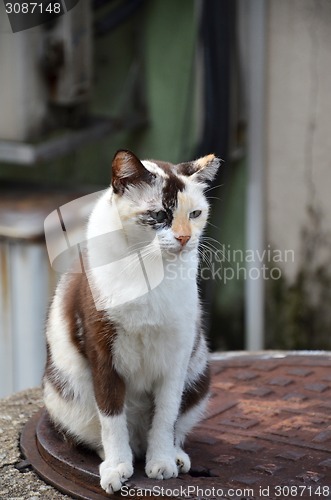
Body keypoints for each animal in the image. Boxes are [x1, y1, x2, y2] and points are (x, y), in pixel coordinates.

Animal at [43, 148, 220, 492]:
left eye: (195, 214)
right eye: (159, 215)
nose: (184, 238)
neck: (148, 269)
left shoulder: (177, 353)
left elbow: (166, 414)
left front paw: (162, 461)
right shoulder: (101, 352)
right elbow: (111, 417)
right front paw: (115, 467)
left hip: (198, 375)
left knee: (176, 425)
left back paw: (175, 455)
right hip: (63, 394)